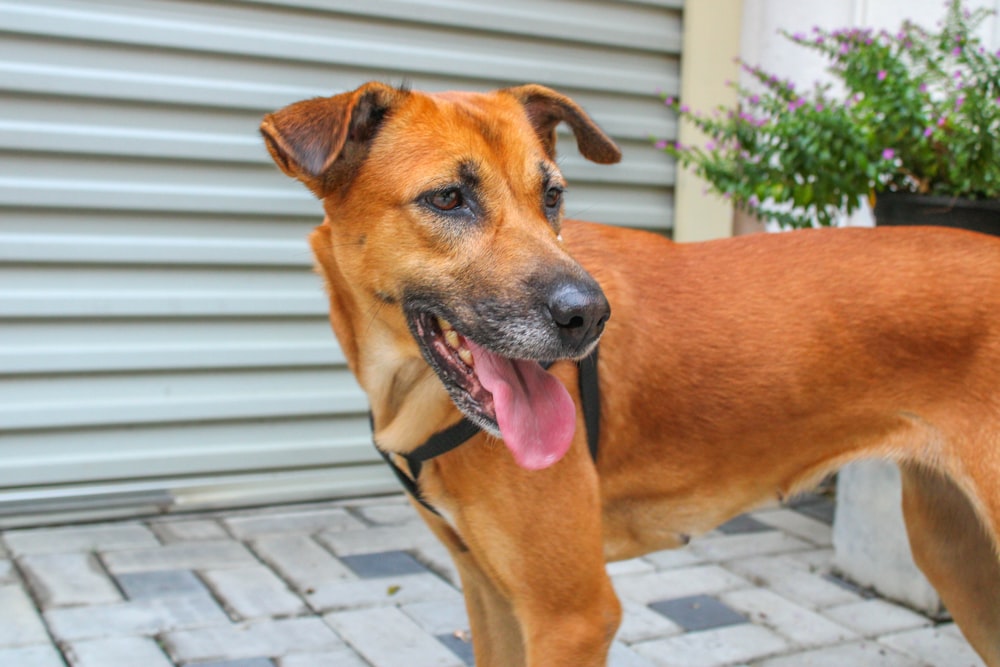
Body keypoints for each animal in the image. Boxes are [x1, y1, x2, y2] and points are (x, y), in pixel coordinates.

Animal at [260, 81, 1000, 664]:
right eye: (447, 198)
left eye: (552, 196)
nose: (589, 316)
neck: (411, 391)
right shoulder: (490, 594)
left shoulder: (573, 618)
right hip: (957, 553)